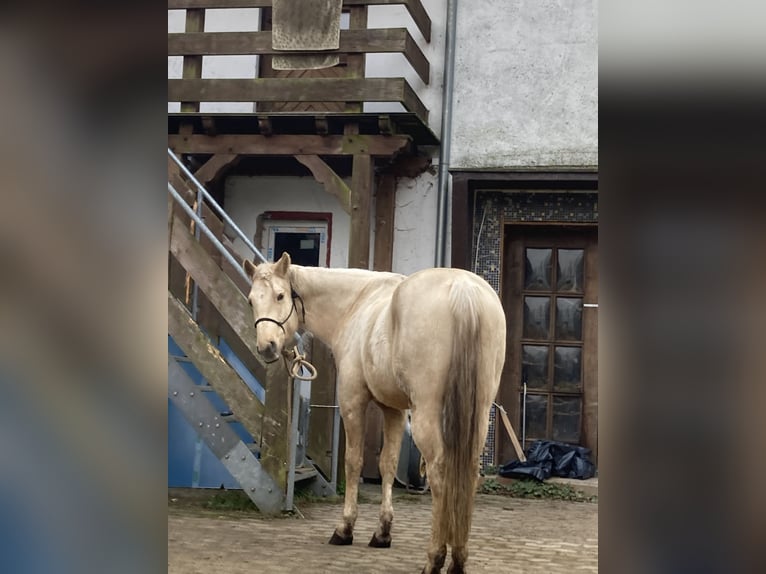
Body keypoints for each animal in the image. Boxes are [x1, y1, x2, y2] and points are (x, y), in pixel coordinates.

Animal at [246, 255, 508, 574]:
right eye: (251, 301)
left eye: (280, 296)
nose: (266, 348)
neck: (357, 303)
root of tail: (462, 289)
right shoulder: (394, 410)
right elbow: (388, 464)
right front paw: (382, 533)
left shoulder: (353, 402)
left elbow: (354, 462)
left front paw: (345, 529)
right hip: (478, 415)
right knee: (468, 473)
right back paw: (457, 560)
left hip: (427, 416)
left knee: (440, 473)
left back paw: (434, 559)